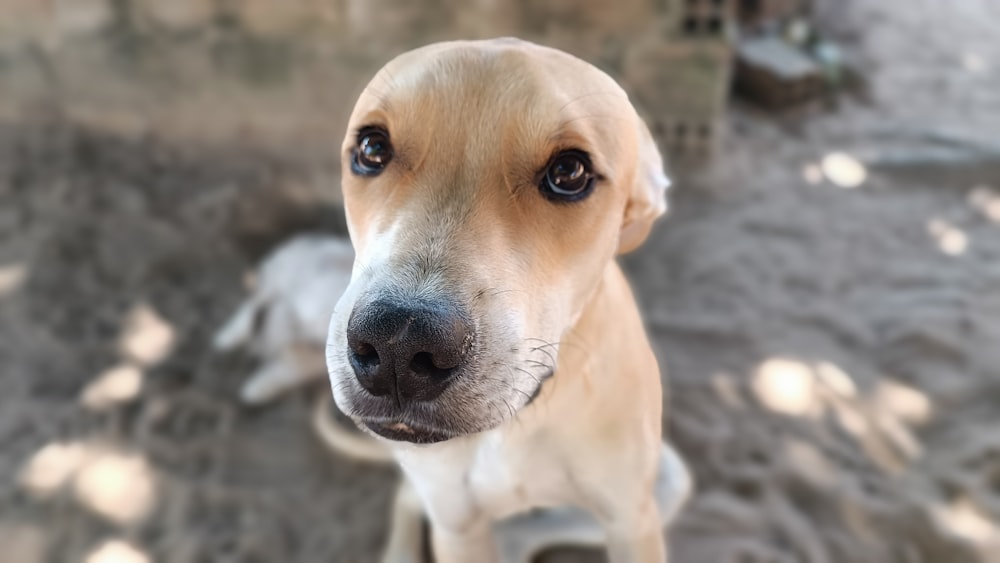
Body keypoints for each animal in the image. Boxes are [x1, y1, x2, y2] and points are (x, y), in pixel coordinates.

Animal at [324, 37, 692, 560]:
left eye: (569, 172)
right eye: (372, 148)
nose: (398, 340)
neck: (521, 418)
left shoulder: (631, 522)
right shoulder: (456, 525)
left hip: (666, 481)